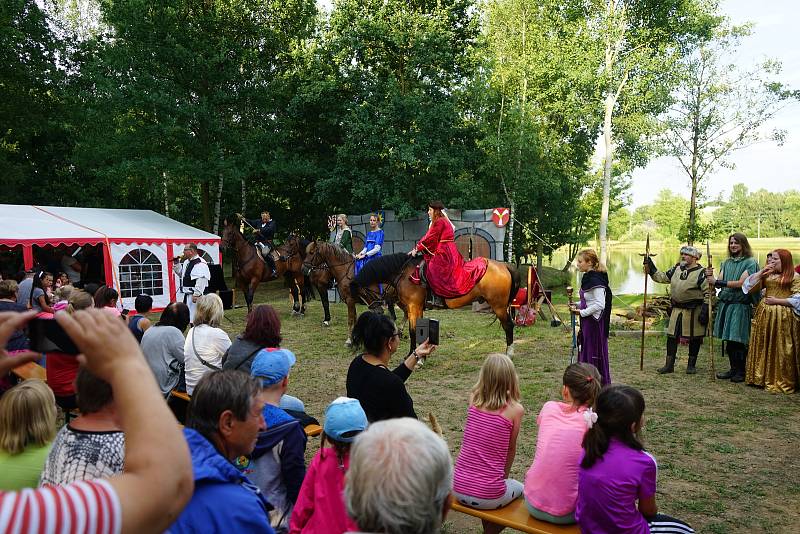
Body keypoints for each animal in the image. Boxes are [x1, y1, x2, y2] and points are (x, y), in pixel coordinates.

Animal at [348, 250, 520, 356]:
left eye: (363, 293)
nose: (376, 309)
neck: (404, 273)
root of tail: (504, 265)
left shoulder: (413, 307)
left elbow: (412, 330)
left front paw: (412, 355)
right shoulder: (417, 309)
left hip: (499, 306)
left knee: (508, 326)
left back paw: (509, 353)